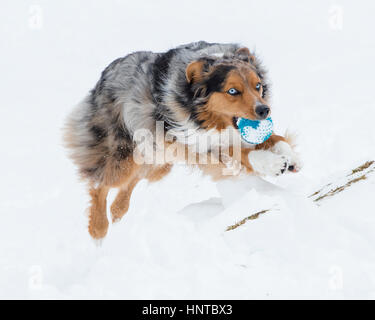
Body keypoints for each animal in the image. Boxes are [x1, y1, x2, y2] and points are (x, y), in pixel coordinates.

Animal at [63, 41, 302, 239]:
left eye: (258, 85)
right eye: (233, 91)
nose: (264, 110)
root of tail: (104, 76)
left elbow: (276, 138)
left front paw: (290, 156)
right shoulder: (196, 146)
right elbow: (239, 153)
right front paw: (271, 163)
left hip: (158, 158)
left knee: (134, 178)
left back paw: (118, 209)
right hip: (123, 154)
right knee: (100, 183)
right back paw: (98, 228)